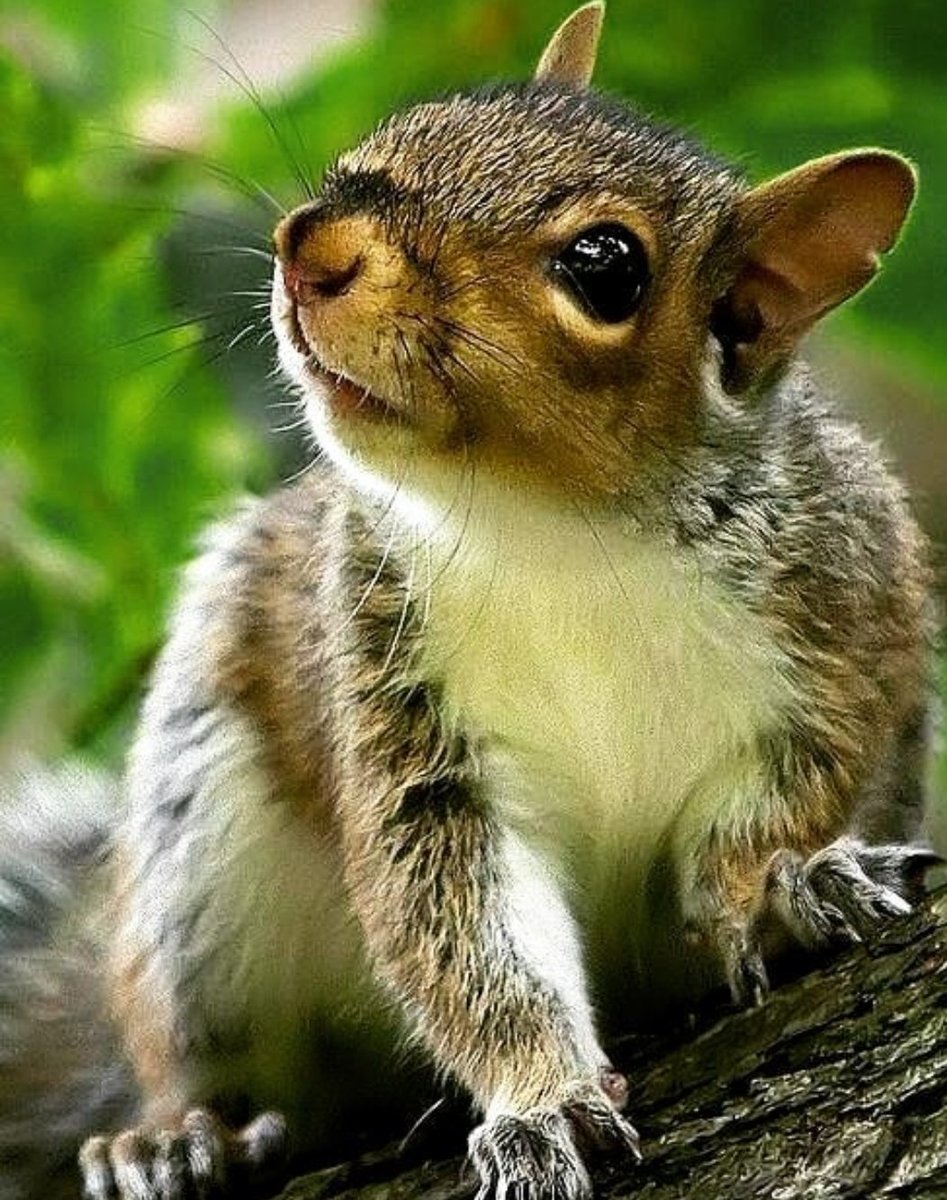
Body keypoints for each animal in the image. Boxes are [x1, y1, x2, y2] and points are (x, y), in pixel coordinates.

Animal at [1, 4, 941, 1199]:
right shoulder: (399, 703)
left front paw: (788, 884)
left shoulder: (848, 620)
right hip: (197, 845)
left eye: (605, 266)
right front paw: (539, 1102)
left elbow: (784, 798)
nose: (311, 246)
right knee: (210, 1052)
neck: (555, 530)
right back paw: (179, 1134)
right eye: (416, 120)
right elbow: (461, 928)